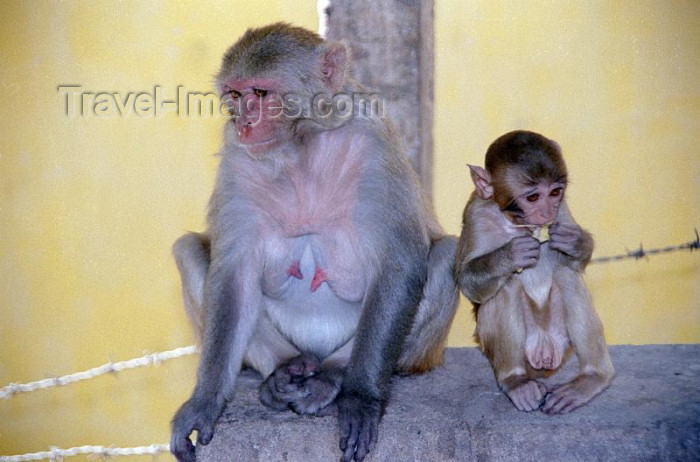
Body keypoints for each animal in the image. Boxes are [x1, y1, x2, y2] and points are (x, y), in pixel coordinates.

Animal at [171, 22, 460, 462]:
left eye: (262, 94)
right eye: (235, 95)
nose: (243, 123)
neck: (300, 149)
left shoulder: (373, 145)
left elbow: (399, 264)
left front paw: (361, 397)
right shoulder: (238, 157)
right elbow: (234, 276)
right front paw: (204, 401)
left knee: (444, 256)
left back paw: (334, 374)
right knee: (191, 251)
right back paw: (284, 370)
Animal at [454, 131, 612, 416]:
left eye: (555, 192)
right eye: (533, 197)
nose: (547, 212)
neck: (516, 223)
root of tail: (544, 350)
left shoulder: (563, 210)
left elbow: (574, 265)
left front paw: (574, 241)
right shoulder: (476, 214)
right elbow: (469, 283)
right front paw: (510, 254)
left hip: (562, 340)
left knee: (567, 277)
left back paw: (592, 377)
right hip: (512, 350)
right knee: (505, 286)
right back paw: (515, 380)